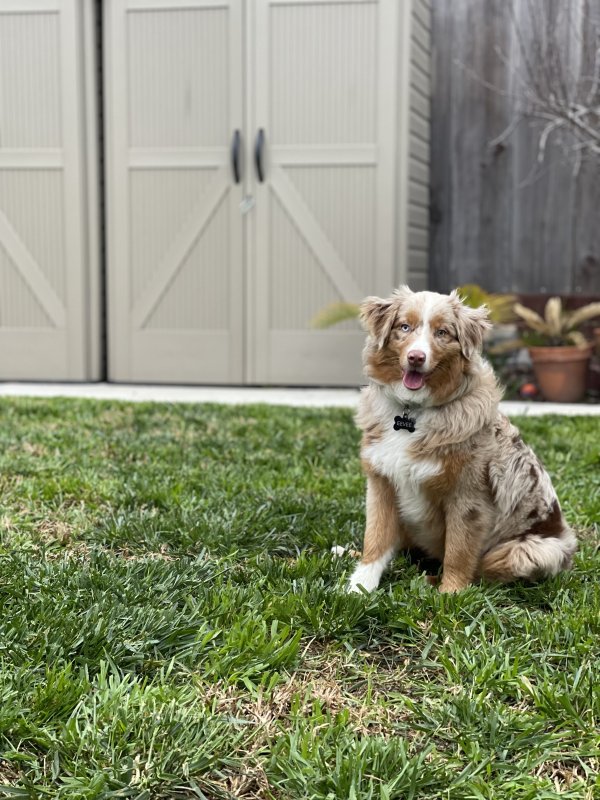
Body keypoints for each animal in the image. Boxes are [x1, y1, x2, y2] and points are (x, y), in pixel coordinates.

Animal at [350, 288, 580, 592]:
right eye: (405, 327)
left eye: (442, 332)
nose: (415, 357)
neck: (413, 411)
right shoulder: (381, 482)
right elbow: (375, 538)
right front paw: (358, 587)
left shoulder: (468, 497)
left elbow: (458, 553)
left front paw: (450, 595)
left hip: (531, 550)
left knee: (483, 570)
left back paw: (430, 580)